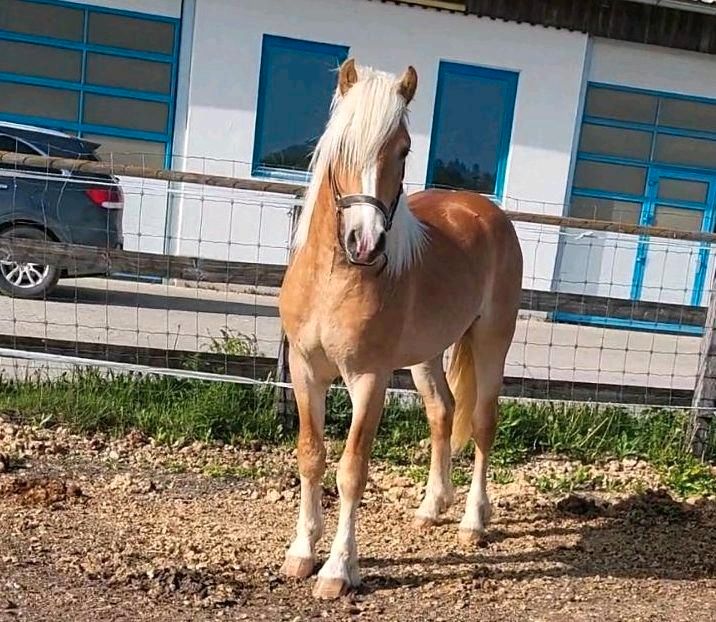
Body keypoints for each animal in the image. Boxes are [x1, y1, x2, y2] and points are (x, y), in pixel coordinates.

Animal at [278, 58, 520, 600]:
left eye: (404, 149)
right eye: (341, 142)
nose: (364, 243)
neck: (334, 280)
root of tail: (485, 210)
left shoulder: (369, 378)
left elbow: (351, 469)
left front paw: (337, 570)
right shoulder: (305, 371)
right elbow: (310, 455)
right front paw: (301, 552)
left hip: (492, 340)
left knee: (483, 423)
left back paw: (473, 521)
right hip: (427, 354)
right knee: (442, 412)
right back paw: (432, 507)